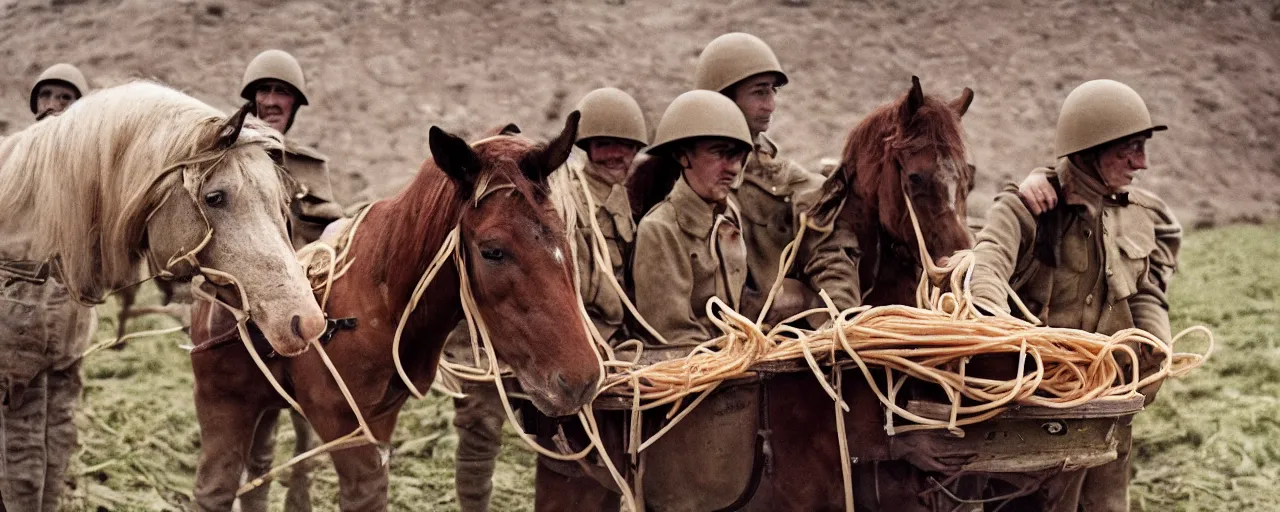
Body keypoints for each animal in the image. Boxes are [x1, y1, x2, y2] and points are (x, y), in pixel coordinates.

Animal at [190, 115, 604, 512]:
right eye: (492, 251)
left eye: (564, 235)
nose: (581, 380)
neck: (379, 300)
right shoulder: (344, 427)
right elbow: (365, 497)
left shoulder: (380, 421)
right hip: (222, 404)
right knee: (214, 491)